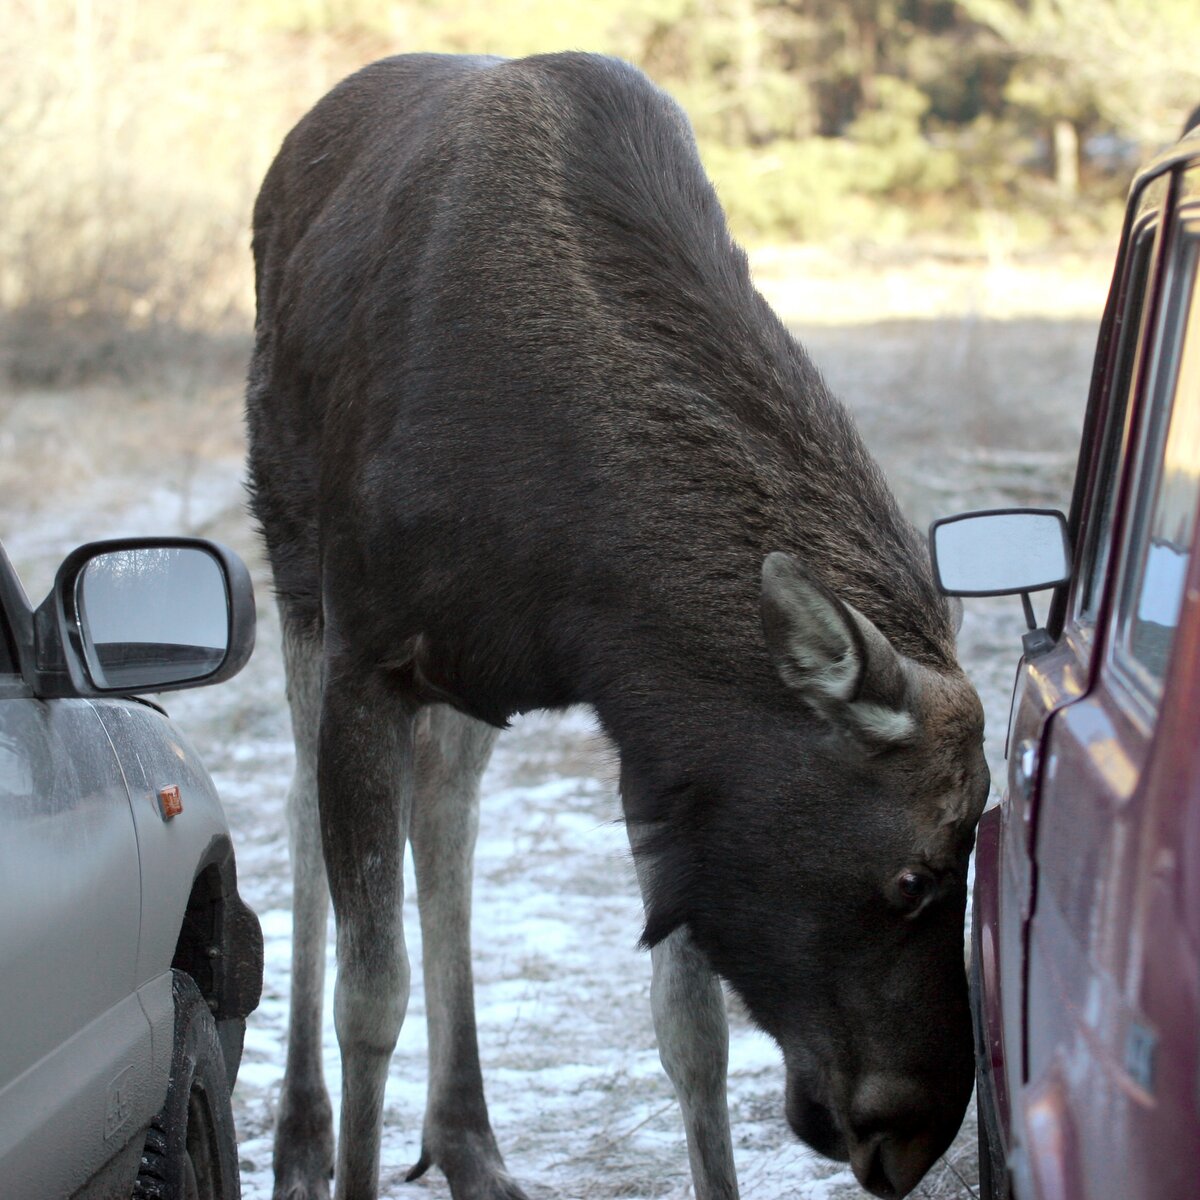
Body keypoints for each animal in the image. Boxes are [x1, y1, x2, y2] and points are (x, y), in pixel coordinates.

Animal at [248, 49, 988, 1200]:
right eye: (913, 875)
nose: (913, 1132)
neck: (572, 565)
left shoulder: (662, 732)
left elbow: (692, 1028)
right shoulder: (370, 649)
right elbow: (371, 997)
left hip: (460, 684)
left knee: (446, 816)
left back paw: (468, 1140)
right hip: (293, 572)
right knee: (295, 812)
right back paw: (301, 1142)